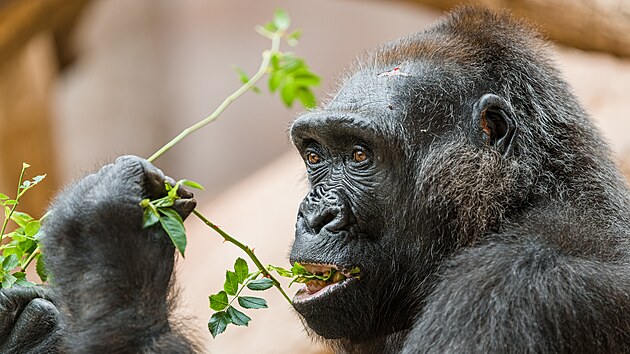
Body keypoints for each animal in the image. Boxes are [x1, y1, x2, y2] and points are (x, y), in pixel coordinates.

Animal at [1, 5, 630, 354]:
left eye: (359, 154)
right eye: (314, 154)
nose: (315, 213)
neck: (522, 200)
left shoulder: (509, 289)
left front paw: (105, 250)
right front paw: (31, 328)